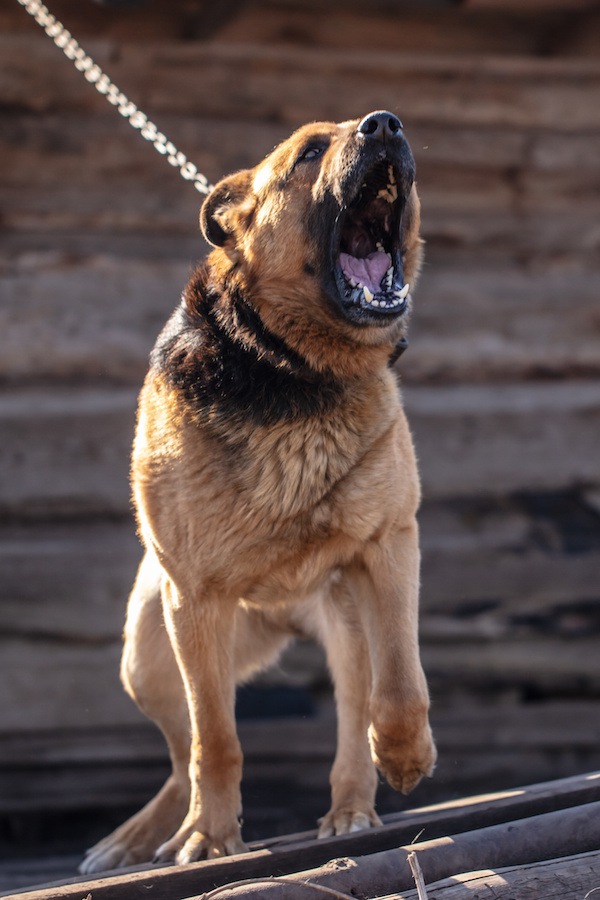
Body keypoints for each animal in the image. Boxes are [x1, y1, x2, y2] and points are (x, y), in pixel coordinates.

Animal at [79, 110, 436, 872]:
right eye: (309, 153)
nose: (386, 124)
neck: (294, 368)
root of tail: (282, 614)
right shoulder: (196, 601)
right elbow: (217, 741)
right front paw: (210, 837)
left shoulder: (389, 546)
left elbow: (399, 684)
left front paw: (406, 757)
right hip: (150, 653)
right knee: (185, 750)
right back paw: (144, 837)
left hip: (343, 623)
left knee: (356, 709)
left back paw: (351, 809)